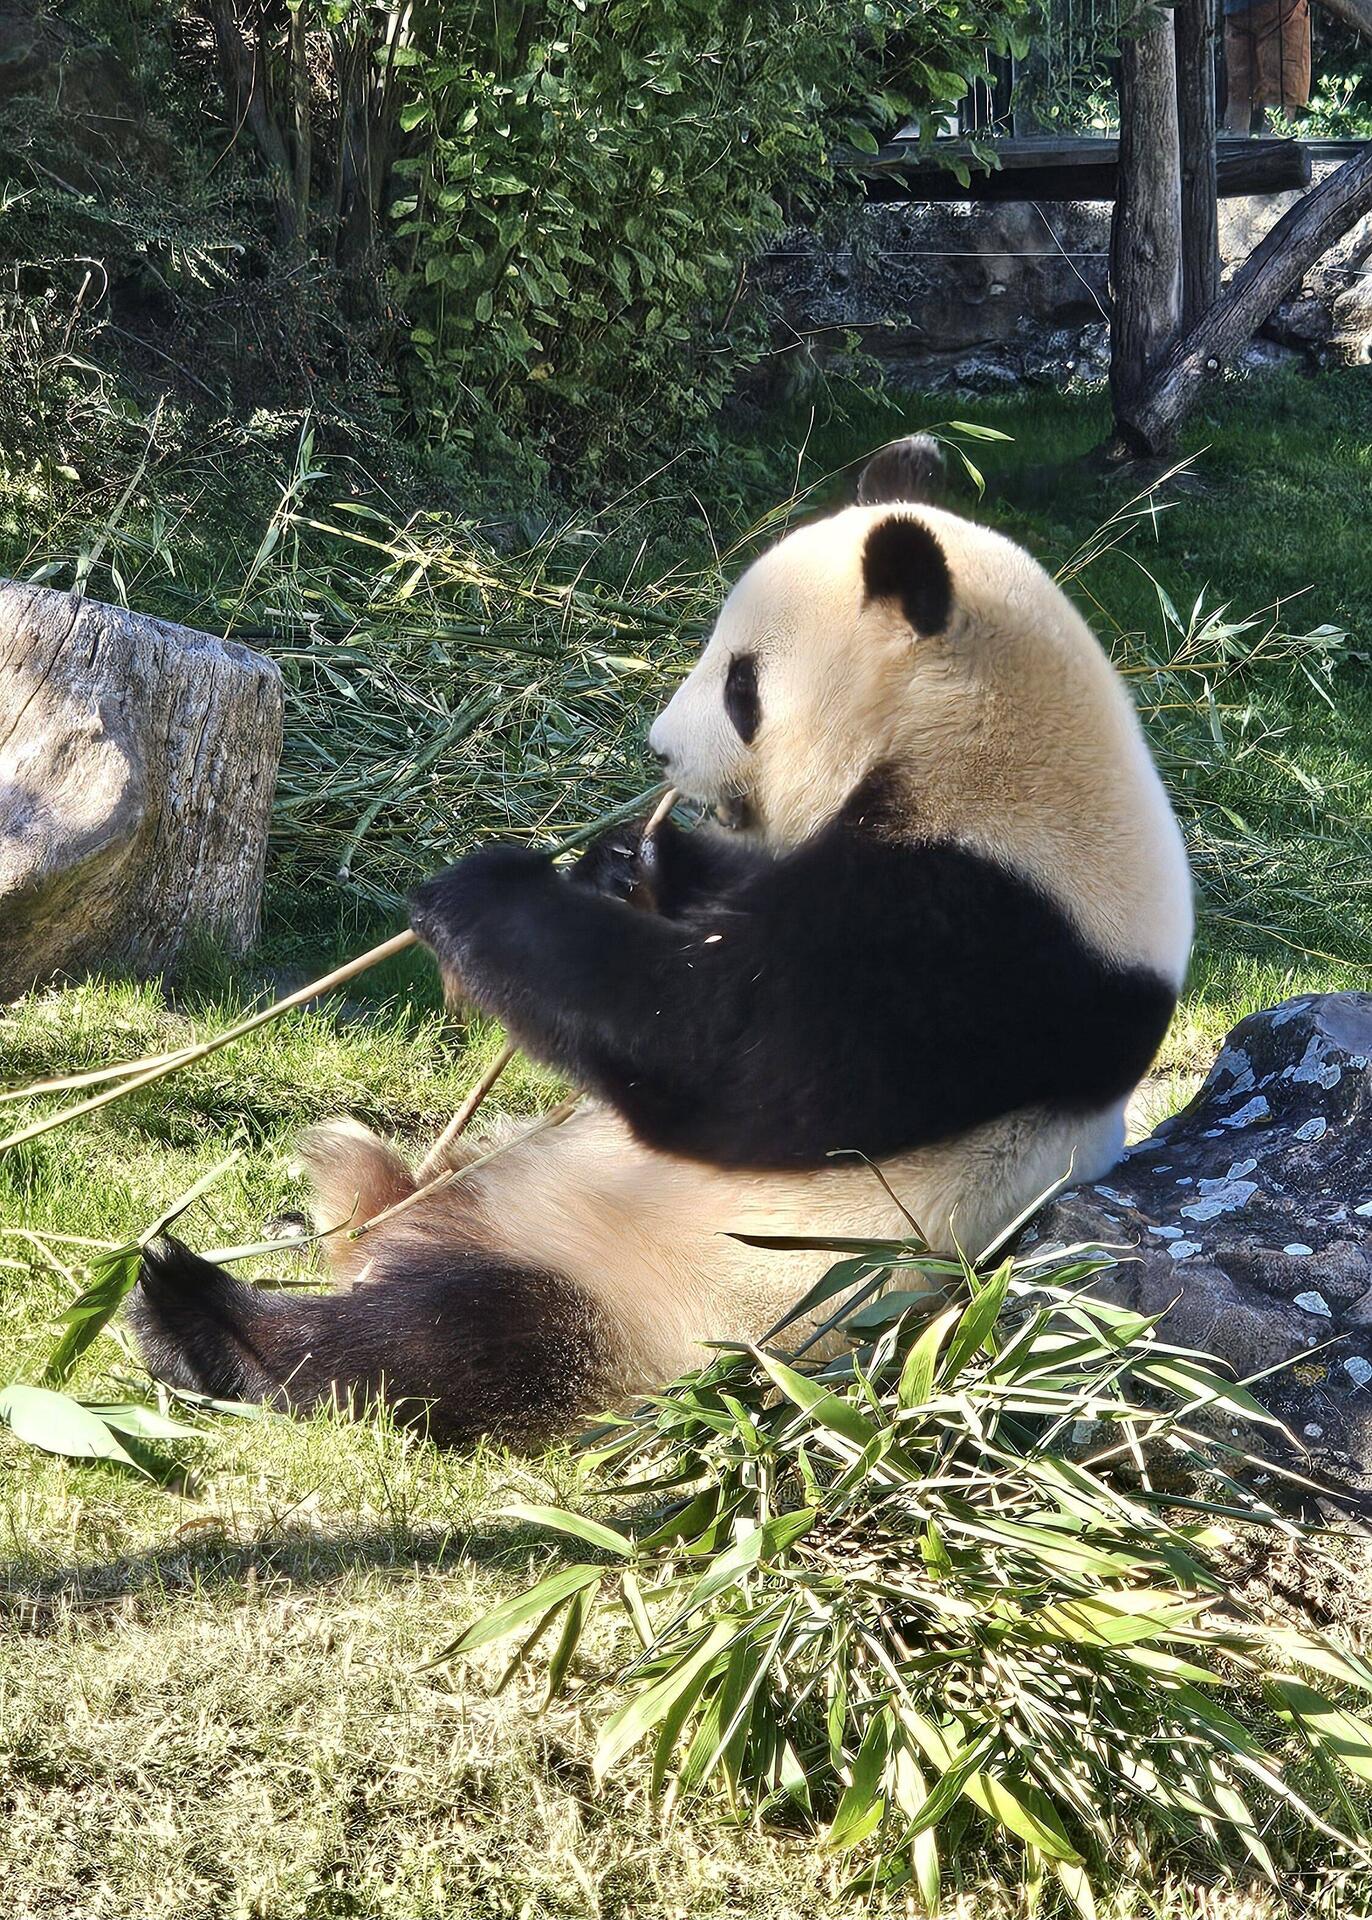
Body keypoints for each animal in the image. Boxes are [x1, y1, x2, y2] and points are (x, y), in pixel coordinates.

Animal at [130, 444, 1193, 1448]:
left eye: (741, 685)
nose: (658, 751)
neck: (985, 749)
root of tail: (422, 1232)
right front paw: (621, 862)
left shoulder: (992, 936)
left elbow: (731, 1055)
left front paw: (483, 891)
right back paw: (314, 1216)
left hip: (680, 1303)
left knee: (453, 1341)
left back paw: (201, 1316)